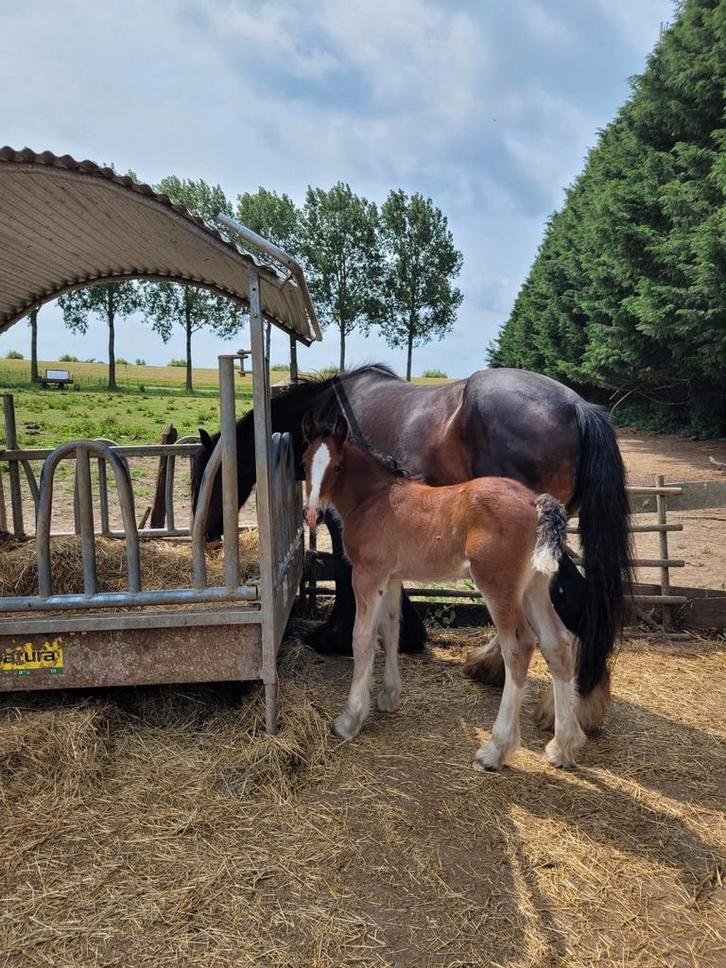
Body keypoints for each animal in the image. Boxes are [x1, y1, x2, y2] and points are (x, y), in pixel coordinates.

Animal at [192, 364, 631, 731]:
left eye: (208, 479)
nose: (209, 535)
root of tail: (579, 407)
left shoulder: (344, 527)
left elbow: (345, 579)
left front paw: (334, 637)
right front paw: (407, 638)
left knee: (574, 600)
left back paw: (576, 707)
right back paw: (492, 667)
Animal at [302, 415, 587, 769]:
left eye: (338, 465)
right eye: (304, 462)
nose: (312, 514)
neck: (375, 500)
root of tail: (536, 502)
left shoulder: (368, 575)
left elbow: (362, 639)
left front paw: (349, 719)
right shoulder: (391, 579)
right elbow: (390, 630)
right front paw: (389, 697)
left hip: (498, 587)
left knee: (519, 647)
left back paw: (496, 750)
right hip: (534, 586)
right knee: (557, 643)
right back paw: (562, 747)